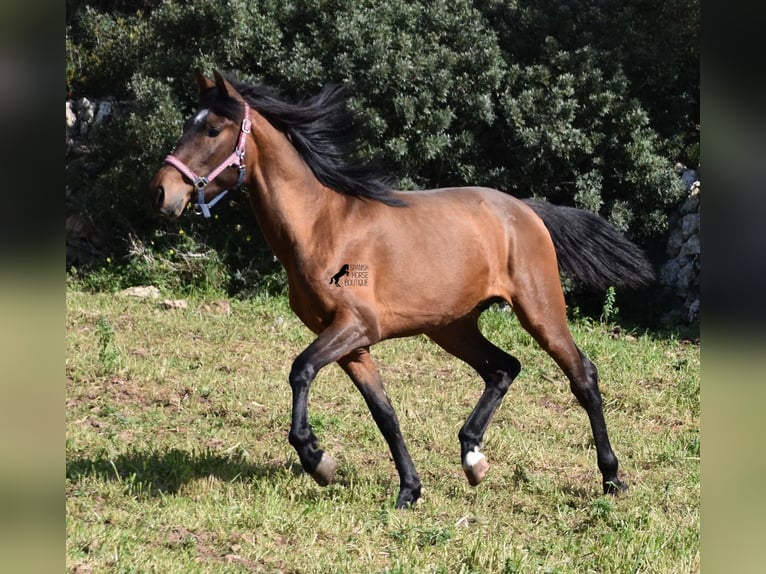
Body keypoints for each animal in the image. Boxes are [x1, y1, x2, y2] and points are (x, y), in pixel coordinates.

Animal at [150, 71, 656, 508]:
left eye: (212, 129)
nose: (160, 192)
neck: (321, 226)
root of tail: (524, 210)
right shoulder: (353, 344)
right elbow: (385, 413)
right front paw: (409, 490)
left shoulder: (355, 327)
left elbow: (300, 371)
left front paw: (318, 461)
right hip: (452, 326)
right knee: (503, 368)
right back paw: (473, 458)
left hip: (539, 310)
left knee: (582, 376)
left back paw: (612, 478)